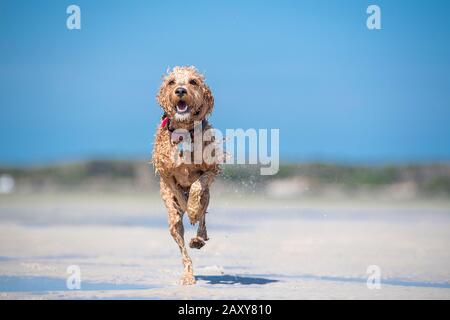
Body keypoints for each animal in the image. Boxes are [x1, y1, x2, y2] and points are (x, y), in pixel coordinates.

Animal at [152, 65, 221, 284]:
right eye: (171, 82)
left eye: (193, 82)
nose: (180, 90)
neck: (182, 132)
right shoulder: (166, 174)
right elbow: (180, 197)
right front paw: (188, 208)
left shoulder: (211, 169)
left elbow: (197, 186)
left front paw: (192, 209)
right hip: (172, 221)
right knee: (182, 245)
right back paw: (188, 276)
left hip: (208, 197)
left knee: (203, 216)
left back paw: (199, 237)